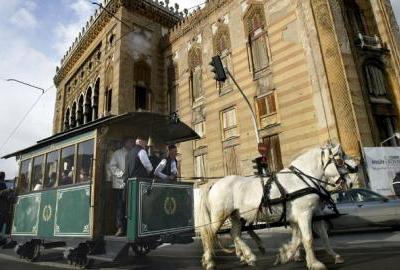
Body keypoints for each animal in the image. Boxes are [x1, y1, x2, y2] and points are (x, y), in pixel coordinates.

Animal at [197, 143, 354, 270]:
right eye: (340, 159)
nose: (355, 170)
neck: (302, 179)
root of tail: (214, 184)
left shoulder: (308, 215)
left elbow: (309, 237)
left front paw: (286, 254)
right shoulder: (304, 214)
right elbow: (307, 238)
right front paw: (315, 263)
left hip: (236, 215)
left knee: (234, 233)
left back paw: (249, 256)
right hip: (220, 215)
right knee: (209, 234)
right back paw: (209, 261)